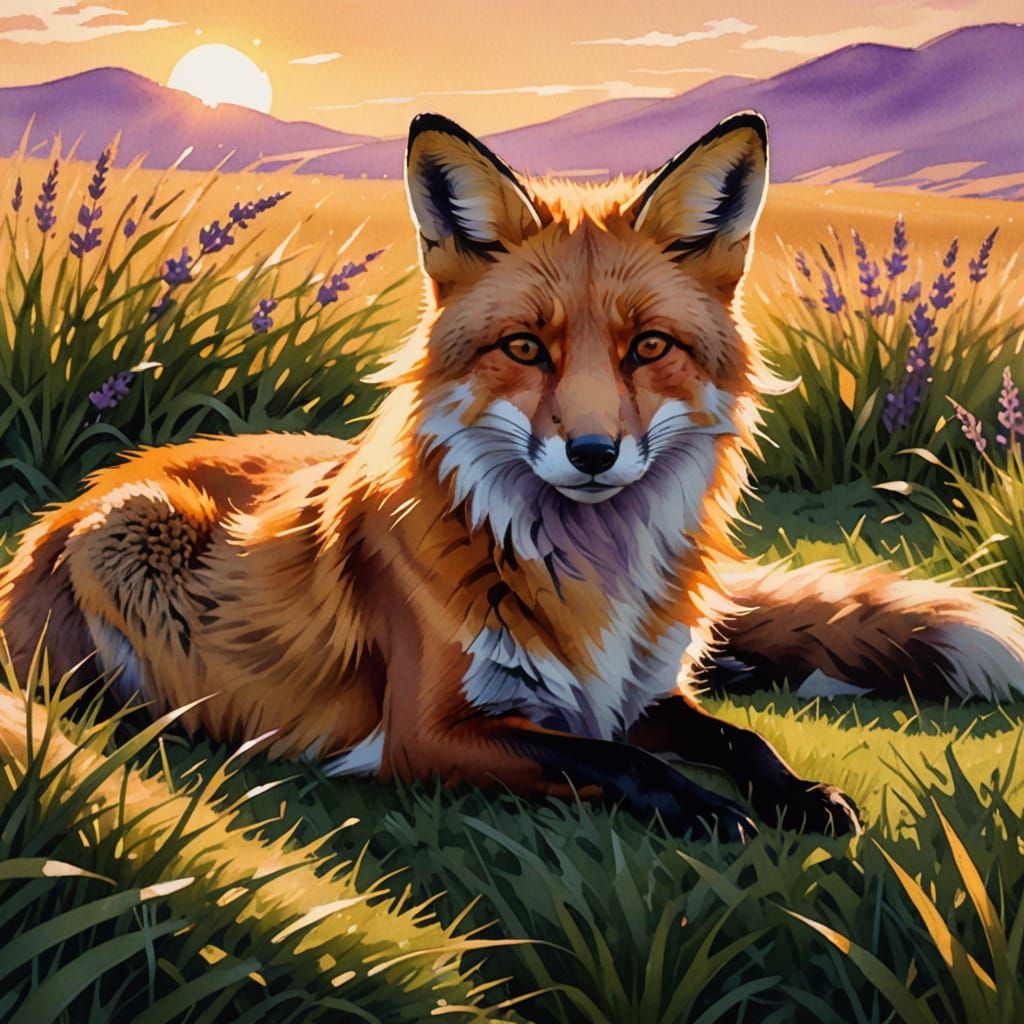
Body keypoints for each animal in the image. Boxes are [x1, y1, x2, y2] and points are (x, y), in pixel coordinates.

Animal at [2, 111, 1024, 841]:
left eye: (648, 347)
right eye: (526, 348)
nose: (593, 453)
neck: (593, 582)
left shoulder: (634, 696)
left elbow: (739, 736)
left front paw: (799, 793)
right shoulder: (430, 734)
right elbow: (615, 765)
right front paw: (707, 812)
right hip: (132, 534)